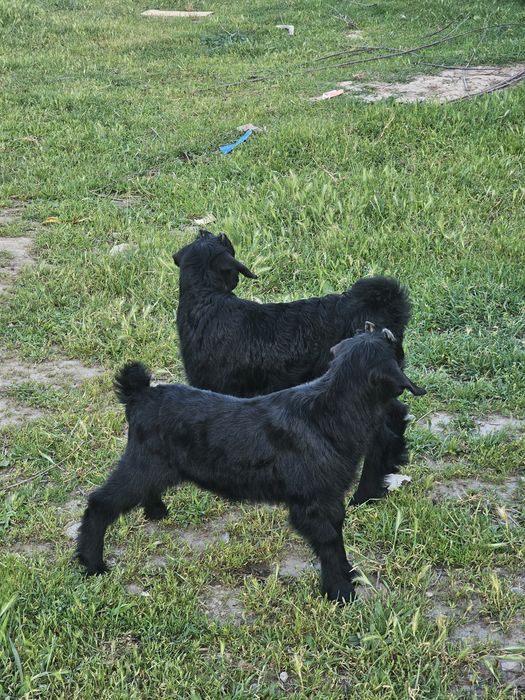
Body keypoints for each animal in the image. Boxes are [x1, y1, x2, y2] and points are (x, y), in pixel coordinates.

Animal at [76, 326, 426, 603]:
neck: (328, 411)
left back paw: (156, 510)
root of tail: (139, 395)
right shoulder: (316, 503)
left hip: (155, 468)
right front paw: (340, 591)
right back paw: (92, 564)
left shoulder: (331, 500)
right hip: (141, 467)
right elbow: (329, 543)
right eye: (394, 346)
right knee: (99, 504)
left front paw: (346, 575)